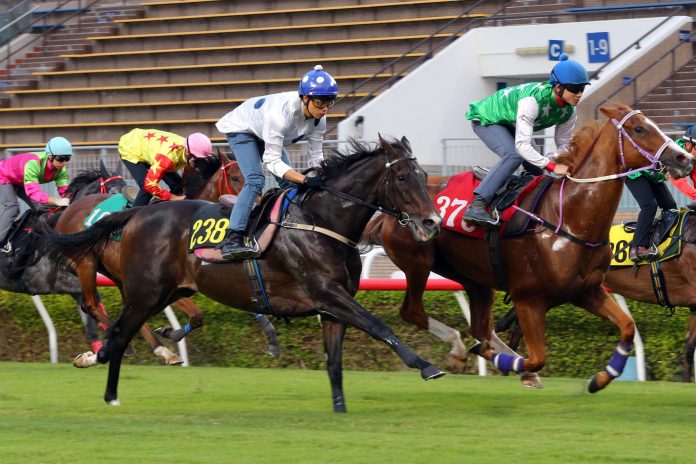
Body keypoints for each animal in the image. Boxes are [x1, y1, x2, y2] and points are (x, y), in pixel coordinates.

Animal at [54, 150, 282, 360]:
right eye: (235, 178)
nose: (258, 204)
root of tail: (69, 210)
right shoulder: (167, 284)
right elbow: (197, 315)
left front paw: (272, 338)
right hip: (86, 264)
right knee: (90, 304)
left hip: (117, 276)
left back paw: (156, 349)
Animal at [362, 106, 692, 396]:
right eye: (639, 129)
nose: (684, 157)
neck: (569, 218)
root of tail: (386, 210)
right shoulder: (528, 298)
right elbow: (538, 357)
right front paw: (505, 361)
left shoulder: (587, 290)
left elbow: (627, 327)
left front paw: (599, 379)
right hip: (418, 262)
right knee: (414, 311)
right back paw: (460, 349)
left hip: (474, 278)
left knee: (480, 327)